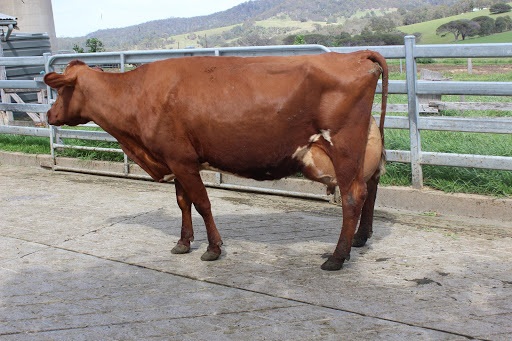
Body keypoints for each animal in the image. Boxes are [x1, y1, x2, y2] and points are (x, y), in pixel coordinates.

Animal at [45, 50, 388, 270]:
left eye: (60, 92)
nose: (49, 114)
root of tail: (355, 54)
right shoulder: (176, 160)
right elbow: (183, 202)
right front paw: (183, 243)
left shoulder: (182, 161)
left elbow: (202, 203)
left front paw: (212, 249)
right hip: (365, 147)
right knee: (371, 186)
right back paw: (360, 238)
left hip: (344, 148)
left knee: (353, 197)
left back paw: (337, 257)